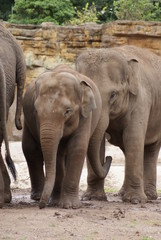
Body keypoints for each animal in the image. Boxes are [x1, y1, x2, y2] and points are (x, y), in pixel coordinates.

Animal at [22, 64, 111, 209]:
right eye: (36, 111)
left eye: (68, 111)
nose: (42, 205)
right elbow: (57, 153)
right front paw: (56, 203)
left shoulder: (85, 116)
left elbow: (78, 148)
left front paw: (71, 206)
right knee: (30, 150)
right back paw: (38, 196)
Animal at [76, 45, 161, 204]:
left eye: (113, 95)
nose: (109, 158)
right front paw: (92, 198)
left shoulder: (141, 100)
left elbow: (133, 138)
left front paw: (135, 200)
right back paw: (122, 194)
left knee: (150, 149)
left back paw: (149, 196)